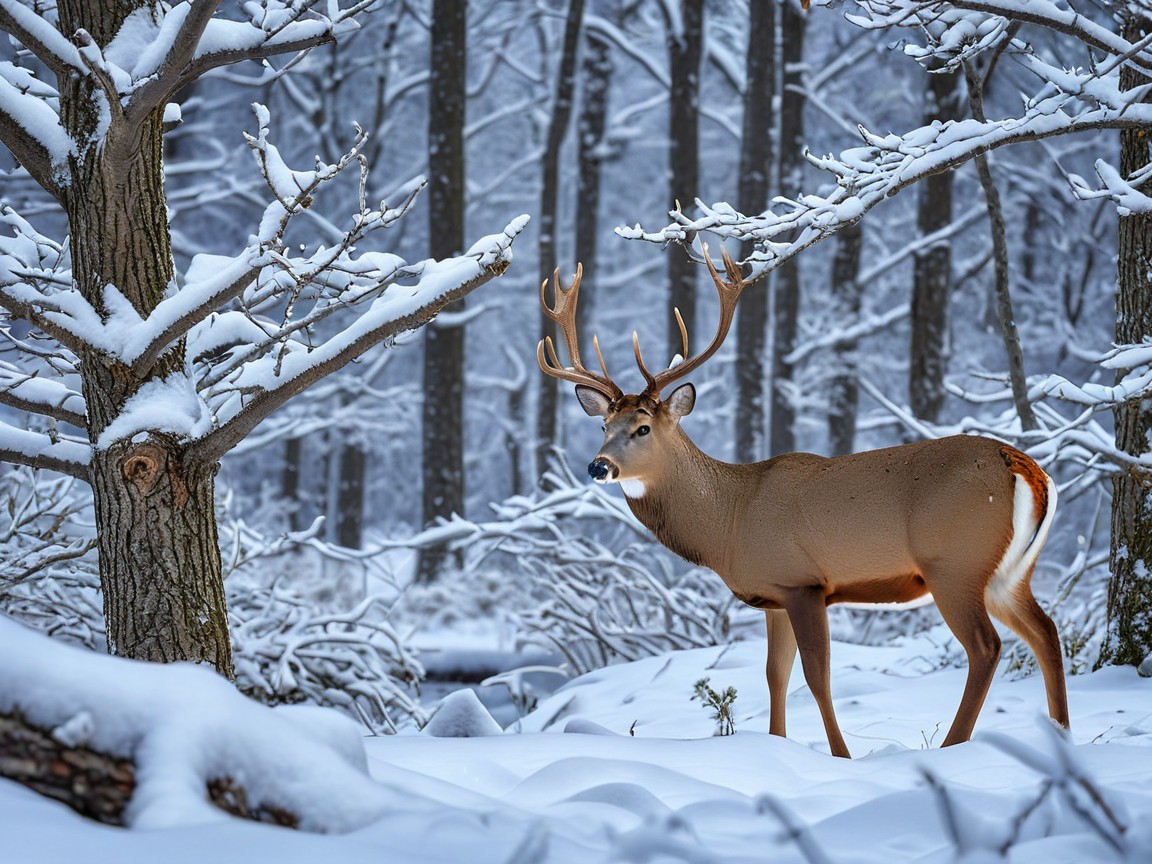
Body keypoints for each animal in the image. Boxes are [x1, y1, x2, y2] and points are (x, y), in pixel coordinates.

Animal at [537, 249, 1069, 758]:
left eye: (643, 427)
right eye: (604, 425)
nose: (598, 466)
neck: (731, 521)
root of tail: (1024, 465)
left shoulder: (803, 581)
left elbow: (816, 675)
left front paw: (840, 756)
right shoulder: (772, 594)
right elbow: (776, 675)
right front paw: (777, 745)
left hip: (954, 563)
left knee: (987, 647)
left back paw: (954, 746)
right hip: (1007, 573)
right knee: (1046, 631)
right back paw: (1062, 736)